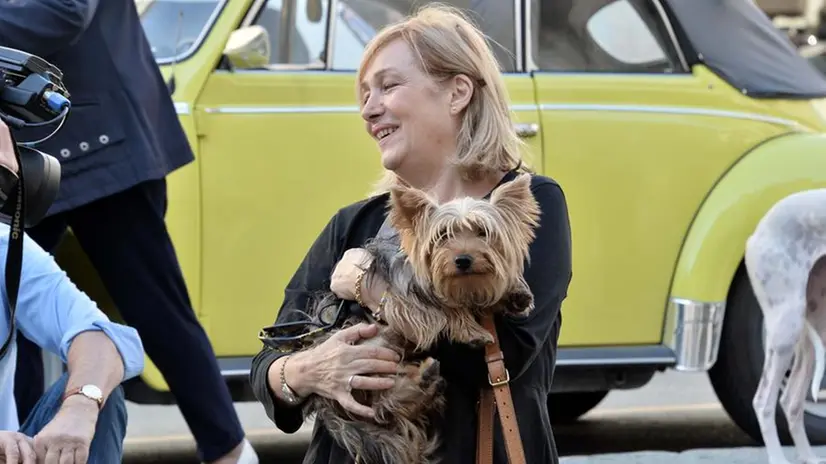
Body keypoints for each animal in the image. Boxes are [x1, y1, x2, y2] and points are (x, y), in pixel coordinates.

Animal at [300, 174, 536, 464]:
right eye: (443, 236)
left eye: (483, 232)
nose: (463, 260)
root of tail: (326, 404)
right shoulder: (406, 300)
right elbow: (445, 308)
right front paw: (472, 330)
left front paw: (515, 293)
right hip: (366, 351)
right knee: (382, 404)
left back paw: (427, 379)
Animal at [744, 188, 826, 464]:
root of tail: (754, 236)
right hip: (786, 328)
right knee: (763, 402)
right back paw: (779, 458)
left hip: (812, 325)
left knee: (791, 401)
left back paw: (809, 457)